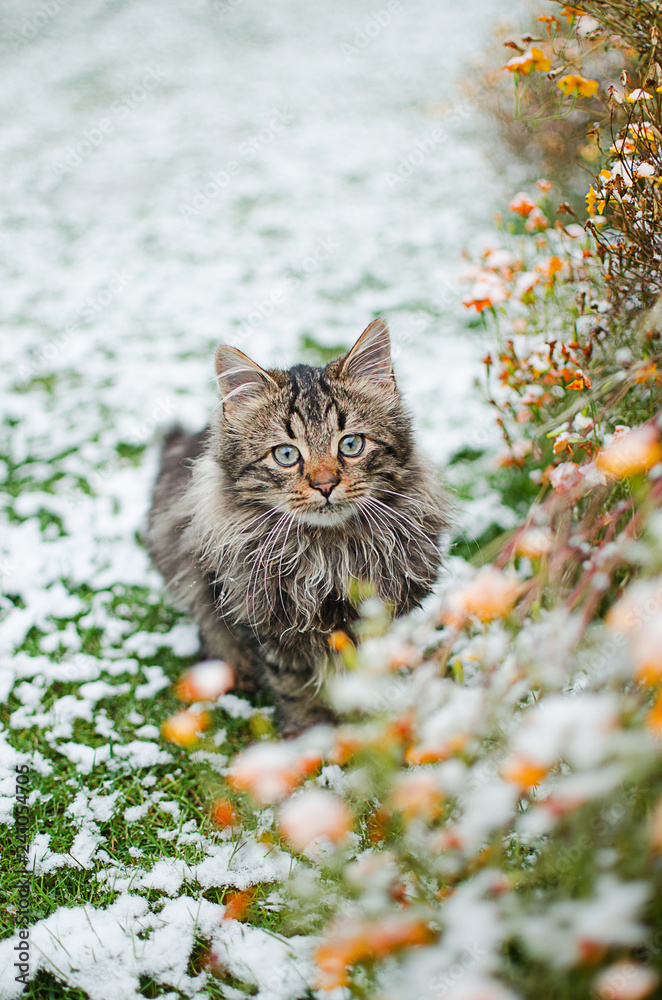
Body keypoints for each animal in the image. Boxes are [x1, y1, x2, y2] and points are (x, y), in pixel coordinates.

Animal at [148, 320, 452, 736]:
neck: (329, 554)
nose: (325, 484)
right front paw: (310, 738)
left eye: (351, 445)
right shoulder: (267, 626)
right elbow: (297, 690)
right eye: (286, 454)